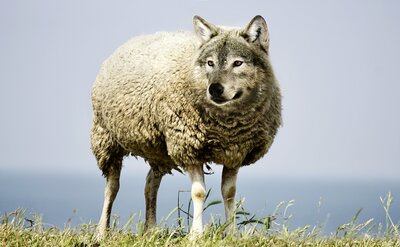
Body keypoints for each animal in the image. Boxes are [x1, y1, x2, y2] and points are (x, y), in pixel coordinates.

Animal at [91, 15, 282, 239]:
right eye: (210, 63)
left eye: (238, 63)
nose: (215, 89)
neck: (226, 127)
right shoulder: (189, 148)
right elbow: (199, 193)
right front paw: (196, 235)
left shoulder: (235, 152)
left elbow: (229, 193)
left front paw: (231, 233)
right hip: (106, 138)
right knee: (112, 187)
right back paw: (101, 232)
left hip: (159, 150)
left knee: (150, 184)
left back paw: (151, 230)